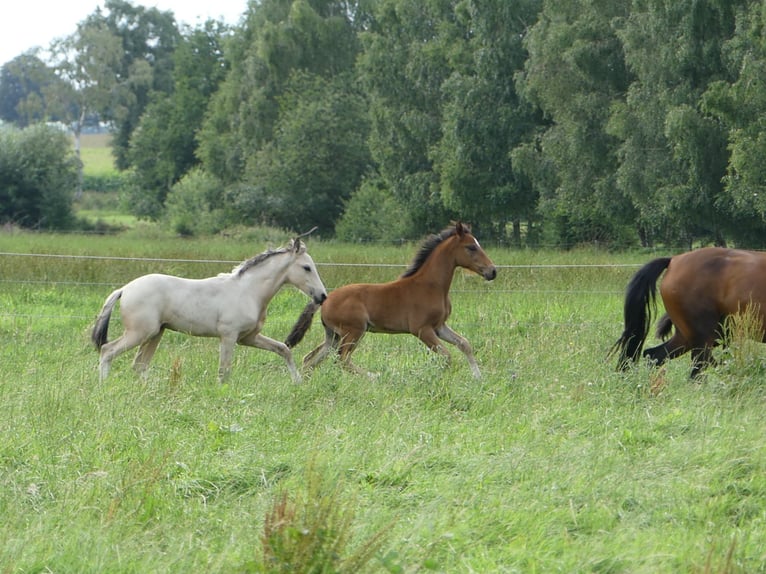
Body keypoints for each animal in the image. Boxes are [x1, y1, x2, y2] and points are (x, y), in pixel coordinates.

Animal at [92, 238, 328, 382]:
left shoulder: (248, 337)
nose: (322, 296)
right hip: (141, 332)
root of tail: (124, 289)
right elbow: (224, 370)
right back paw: (104, 386)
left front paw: (297, 382)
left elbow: (283, 349)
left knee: (139, 365)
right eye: (306, 267)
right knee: (108, 351)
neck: (248, 291)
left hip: (155, 333)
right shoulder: (229, 336)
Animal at [286, 223, 498, 380]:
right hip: (354, 331)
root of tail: (324, 299)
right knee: (342, 360)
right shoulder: (422, 329)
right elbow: (446, 356)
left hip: (334, 335)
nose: (492, 271)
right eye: (471, 247)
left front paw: (478, 377)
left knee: (310, 359)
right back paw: (375, 376)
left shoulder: (439, 327)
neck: (431, 286)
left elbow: (464, 344)